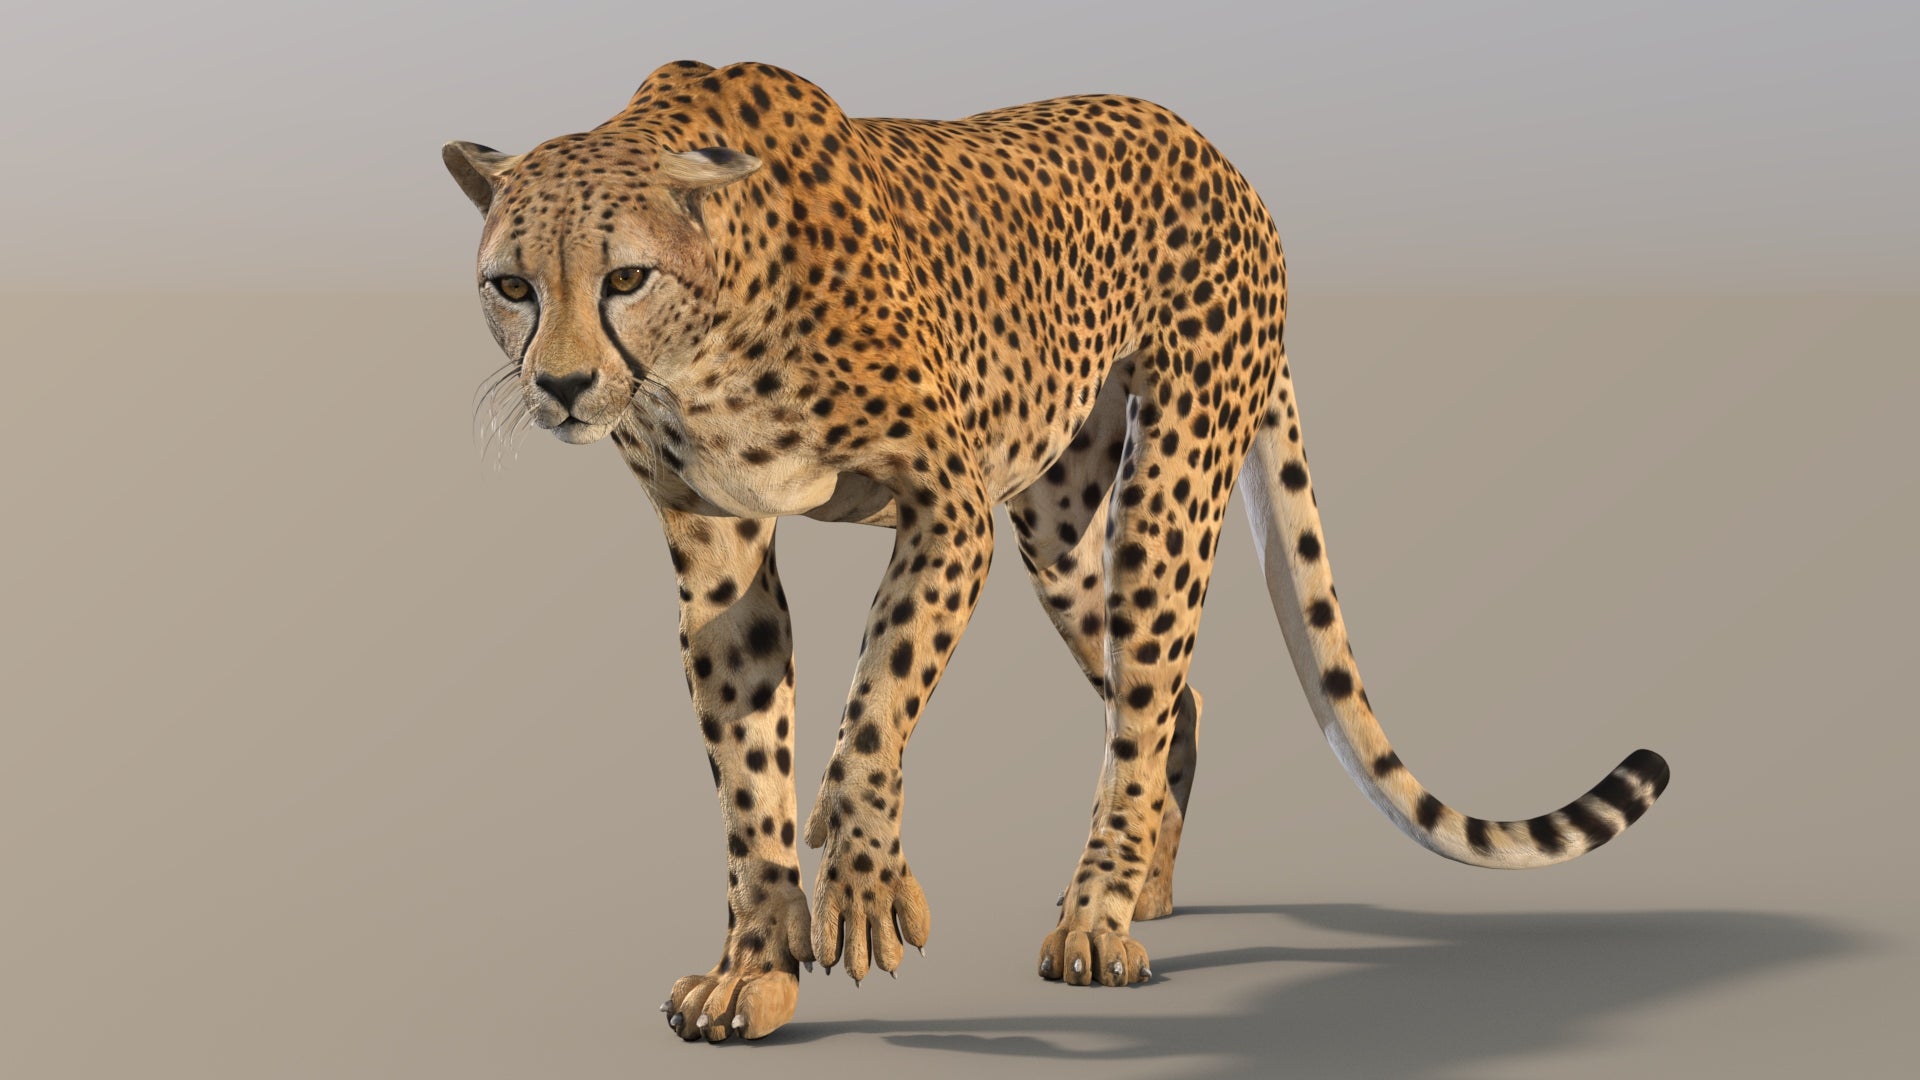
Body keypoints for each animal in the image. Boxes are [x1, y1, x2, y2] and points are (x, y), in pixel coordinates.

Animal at [441, 59, 1671, 1043]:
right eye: (511, 286)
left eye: (625, 278)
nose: (561, 387)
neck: (706, 344)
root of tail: (1214, 151)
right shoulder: (721, 556)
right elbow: (751, 771)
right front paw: (760, 964)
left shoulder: (948, 509)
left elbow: (874, 704)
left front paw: (863, 879)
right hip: (1057, 521)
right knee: (1170, 698)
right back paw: (1147, 889)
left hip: (1167, 488)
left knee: (1145, 700)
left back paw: (1097, 923)